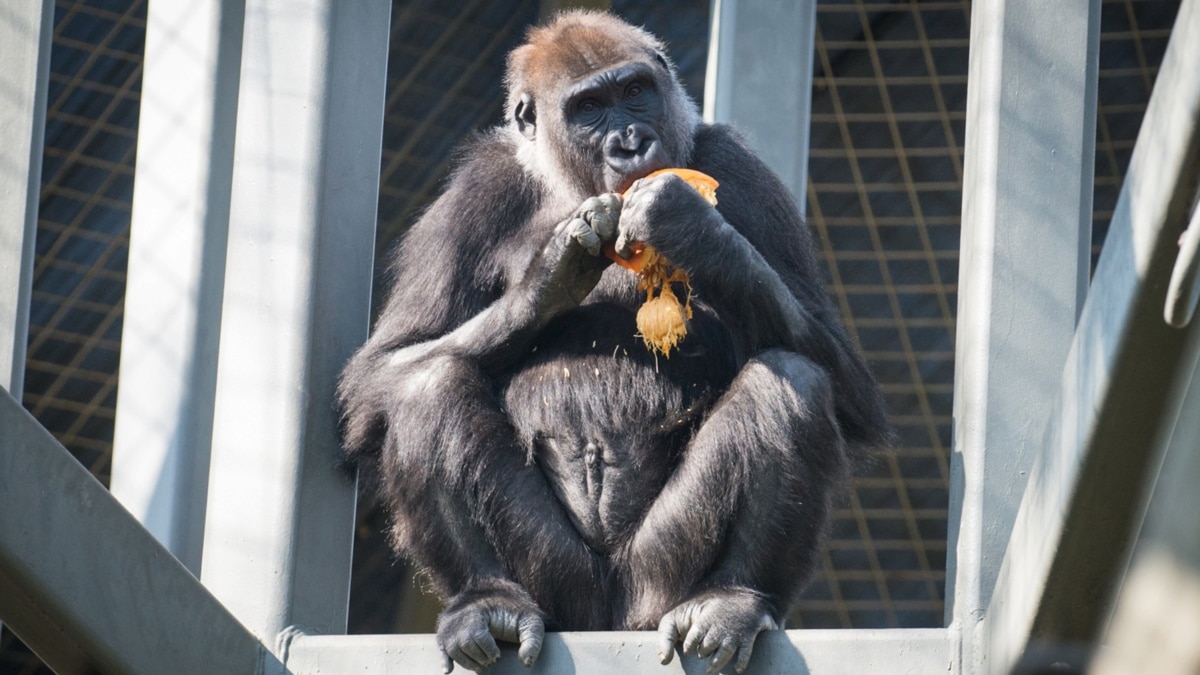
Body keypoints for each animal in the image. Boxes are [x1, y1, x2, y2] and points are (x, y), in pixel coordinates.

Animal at [338, 10, 892, 672]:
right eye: (589, 107)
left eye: (634, 91)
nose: (630, 142)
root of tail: (609, 621)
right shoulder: (476, 189)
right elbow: (382, 375)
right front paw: (550, 273)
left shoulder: (738, 166)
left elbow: (845, 382)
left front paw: (693, 228)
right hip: (559, 589)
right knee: (427, 387)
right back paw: (486, 600)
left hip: (657, 583)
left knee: (791, 380)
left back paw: (731, 598)